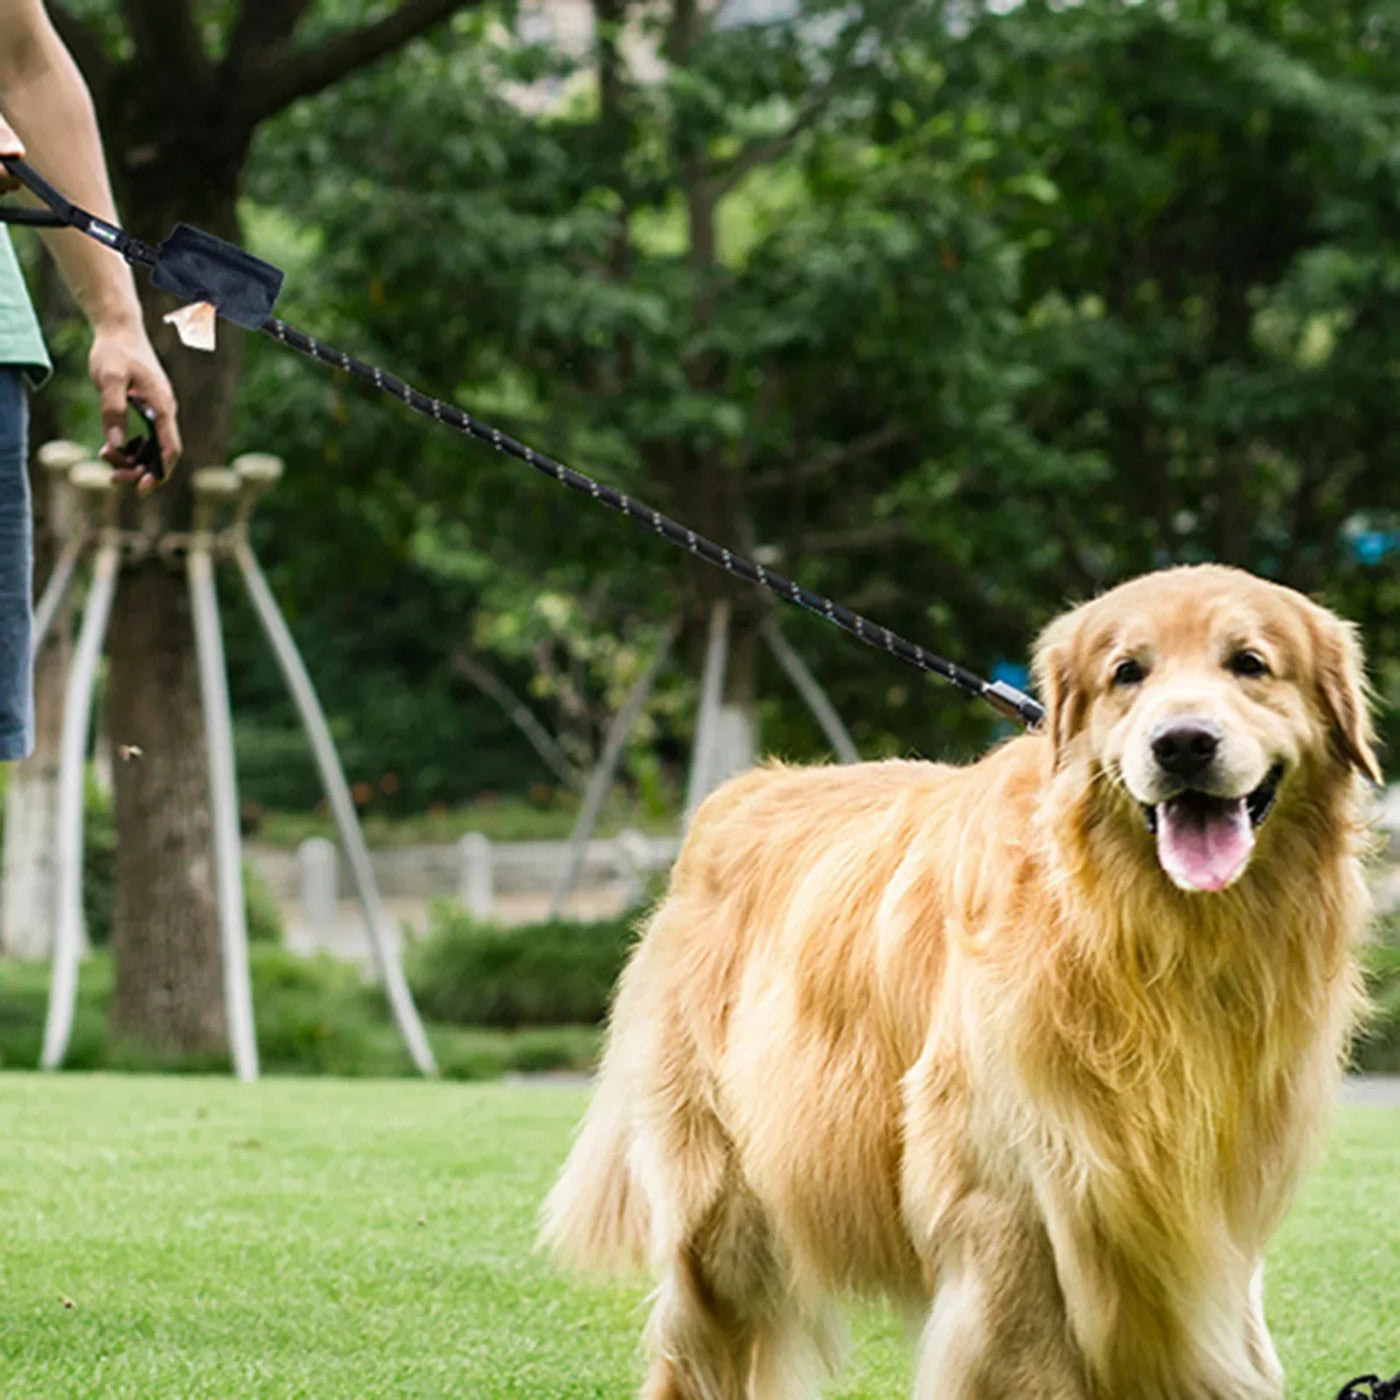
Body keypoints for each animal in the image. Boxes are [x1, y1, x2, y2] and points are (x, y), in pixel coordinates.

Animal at [543, 562, 1377, 1394]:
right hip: (727, 1210)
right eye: (1127, 673)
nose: (1182, 745)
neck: (1148, 937)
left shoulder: (1209, 1214)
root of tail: (734, 795)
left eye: (1250, 663)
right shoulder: (1007, 1207)